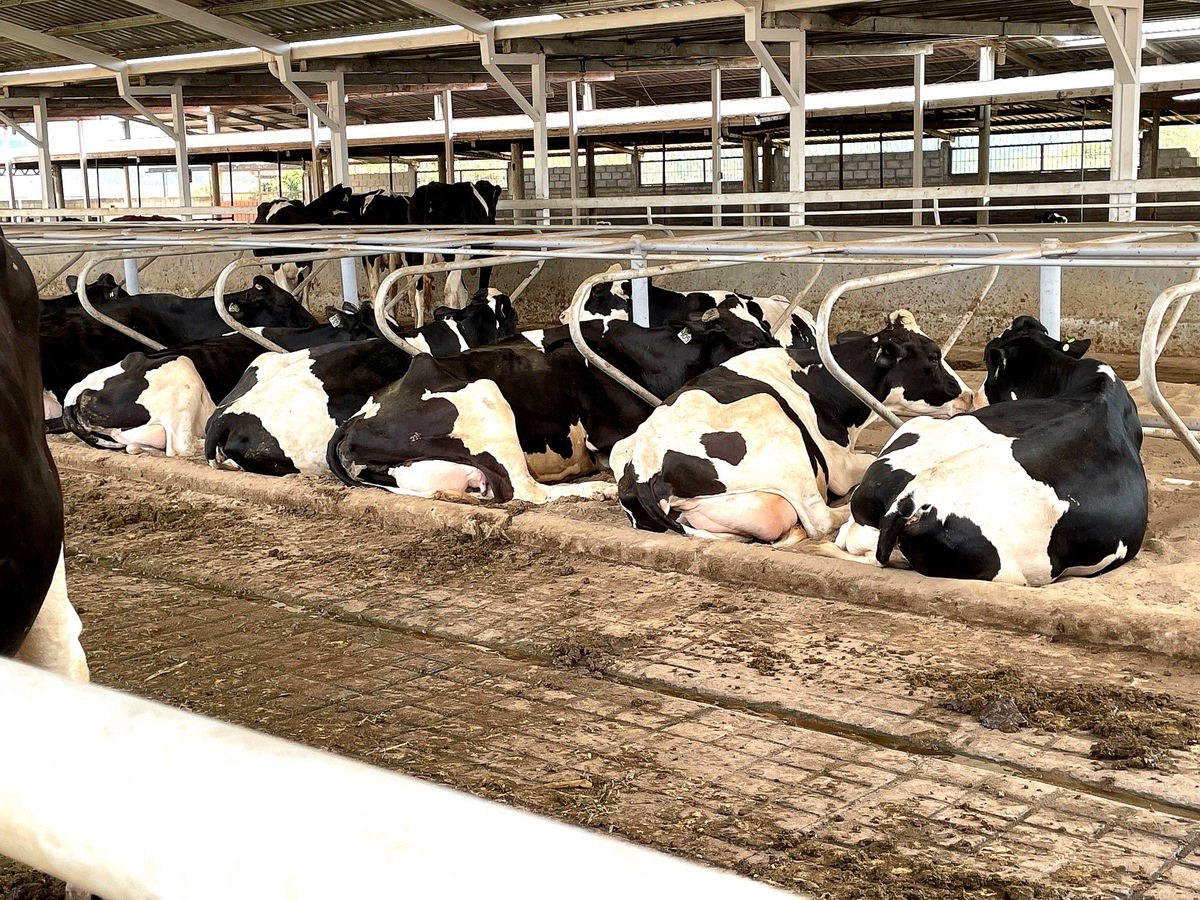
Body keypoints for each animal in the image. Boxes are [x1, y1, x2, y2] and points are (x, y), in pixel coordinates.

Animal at [326, 307, 778, 504]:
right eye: (749, 339)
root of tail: (357, 419)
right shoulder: (611, 434)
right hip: (487, 399)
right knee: (523, 491)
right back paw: (593, 489)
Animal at [406, 180, 503, 309]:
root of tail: (430, 188)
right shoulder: (486, 256)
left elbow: (463, 291)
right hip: (454, 253)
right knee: (450, 291)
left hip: (419, 255)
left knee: (419, 290)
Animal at [611, 310, 973, 544]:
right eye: (933, 356)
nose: (969, 395)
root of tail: (645, 465)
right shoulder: (838, 465)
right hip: (778, 432)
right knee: (820, 518)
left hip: (622, 449)